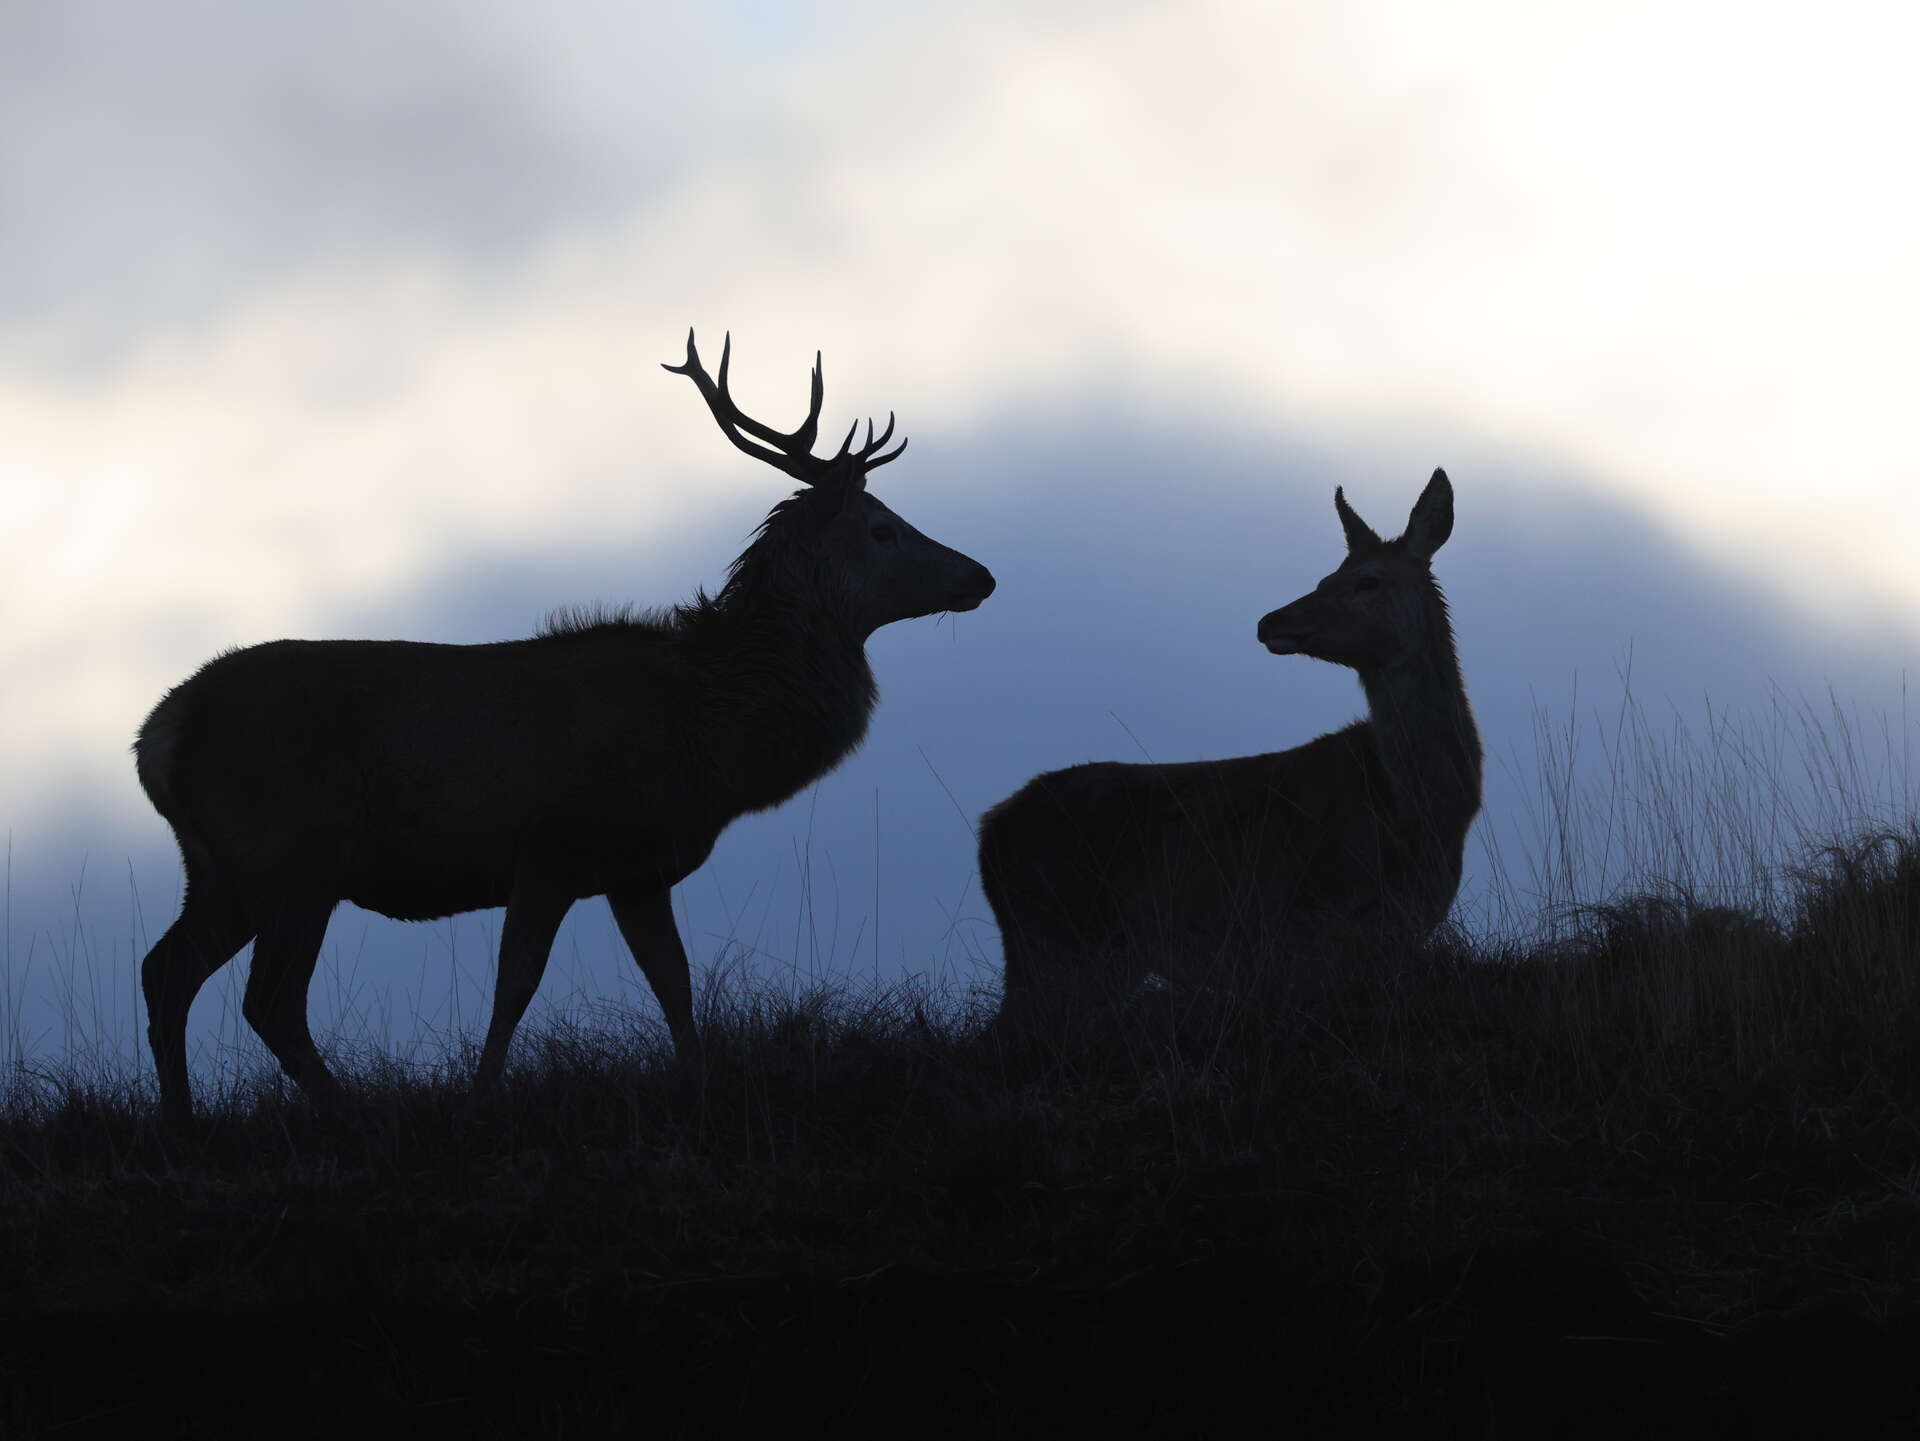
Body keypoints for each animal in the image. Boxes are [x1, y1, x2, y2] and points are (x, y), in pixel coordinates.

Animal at [134, 330, 995, 1124]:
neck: (710, 732)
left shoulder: (637, 871)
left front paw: (700, 1088)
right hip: (295, 859)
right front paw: (480, 1099)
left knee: (165, 969)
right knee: (268, 1000)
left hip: (222, 871)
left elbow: (675, 982)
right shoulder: (552, 845)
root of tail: (157, 739)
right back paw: (346, 1114)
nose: (981, 575)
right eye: (883, 527)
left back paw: (181, 1118)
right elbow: (516, 984)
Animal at [979, 469, 1479, 1016]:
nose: (1271, 620)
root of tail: (989, 832)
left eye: (1367, 580)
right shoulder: (1313, 938)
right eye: (1324, 579)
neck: (1422, 810)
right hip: (1059, 940)